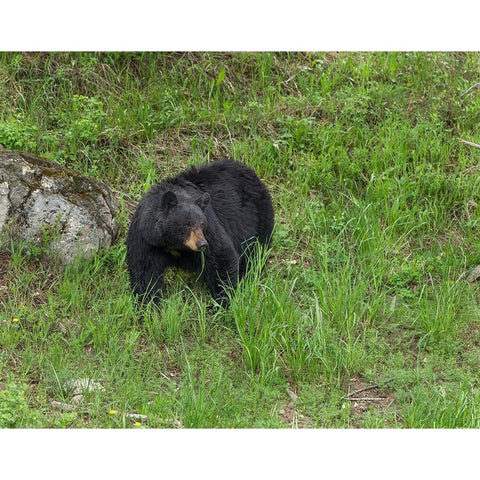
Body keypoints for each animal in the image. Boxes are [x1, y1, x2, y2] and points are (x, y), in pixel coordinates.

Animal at [125, 158, 274, 308]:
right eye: (187, 224)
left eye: (202, 224)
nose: (202, 244)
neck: (172, 244)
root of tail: (252, 173)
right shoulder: (146, 239)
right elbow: (145, 271)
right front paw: (147, 304)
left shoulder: (210, 229)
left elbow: (220, 255)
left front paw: (223, 300)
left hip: (255, 221)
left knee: (254, 254)